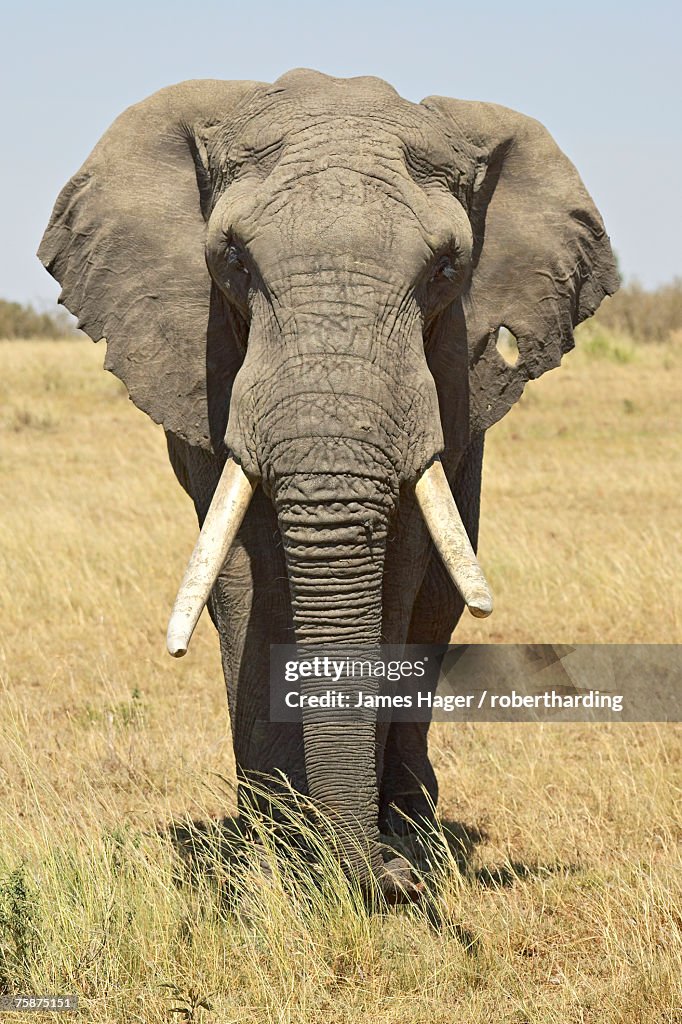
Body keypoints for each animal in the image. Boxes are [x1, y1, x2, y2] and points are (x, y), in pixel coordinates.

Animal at [38, 70, 614, 897]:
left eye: (446, 268)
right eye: (233, 259)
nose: (388, 879)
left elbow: (400, 569)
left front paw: (372, 854)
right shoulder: (209, 364)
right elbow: (243, 574)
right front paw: (278, 862)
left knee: (437, 606)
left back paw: (411, 825)